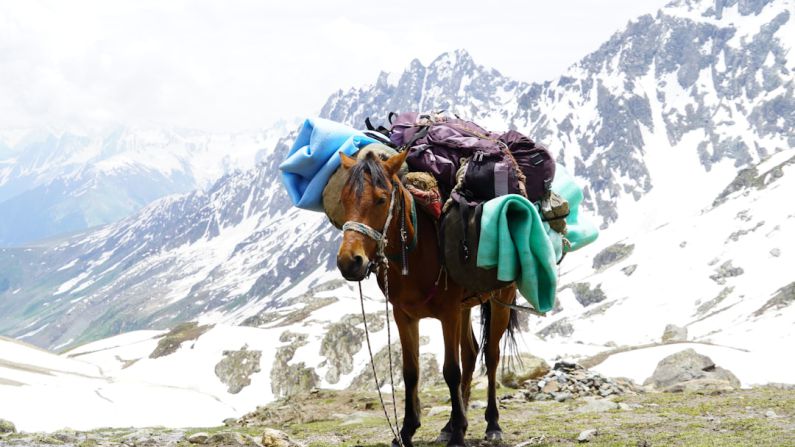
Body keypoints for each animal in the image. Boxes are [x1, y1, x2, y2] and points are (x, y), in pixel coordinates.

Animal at [336, 149, 520, 447]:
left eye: (381, 199)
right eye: (343, 199)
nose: (349, 262)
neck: (415, 252)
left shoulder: (448, 314)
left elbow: (451, 370)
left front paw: (458, 435)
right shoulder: (404, 315)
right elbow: (410, 372)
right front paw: (408, 430)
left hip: (500, 298)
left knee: (491, 355)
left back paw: (492, 424)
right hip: (465, 306)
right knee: (471, 352)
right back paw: (451, 424)